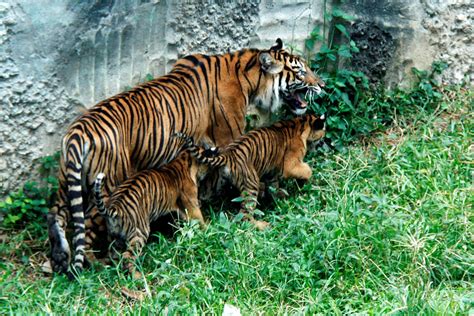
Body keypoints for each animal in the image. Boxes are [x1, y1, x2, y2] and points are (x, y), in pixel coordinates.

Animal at [174, 113, 326, 230]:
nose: (322, 142)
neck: (301, 122)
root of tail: (228, 155)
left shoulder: (272, 172)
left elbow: (274, 186)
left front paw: (278, 198)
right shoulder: (290, 165)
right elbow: (306, 170)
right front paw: (306, 181)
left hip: (215, 182)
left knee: (200, 197)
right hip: (251, 184)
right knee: (245, 215)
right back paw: (262, 225)